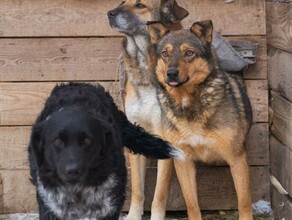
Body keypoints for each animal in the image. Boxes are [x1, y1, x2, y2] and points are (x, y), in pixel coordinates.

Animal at [108, 0, 188, 219]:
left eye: (140, 5)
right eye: (122, 2)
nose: (109, 13)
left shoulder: (168, 139)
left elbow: (159, 194)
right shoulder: (136, 135)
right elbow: (137, 189)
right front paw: (133, 216)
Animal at [148, 19, 253, 219]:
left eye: (189, 53)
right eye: (165, 54)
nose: (171, 73)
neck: (188, 102)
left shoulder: (237, 158)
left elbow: (244, 202)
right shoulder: (183, 160)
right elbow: (192, 204)